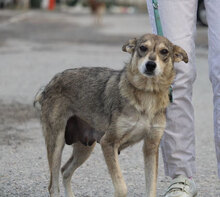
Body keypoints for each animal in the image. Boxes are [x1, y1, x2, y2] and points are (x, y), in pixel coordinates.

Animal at [34, 33, 187, 197]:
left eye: (164, 51)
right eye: (142, 48)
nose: (151, 65)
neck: (147, 95)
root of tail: (48, 85)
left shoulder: (151, 147)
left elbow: (151, 187)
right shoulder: (108, 142)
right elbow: (121, 187)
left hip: (85, 148)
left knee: (65, 171)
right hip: (56, 144)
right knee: (53, 185)